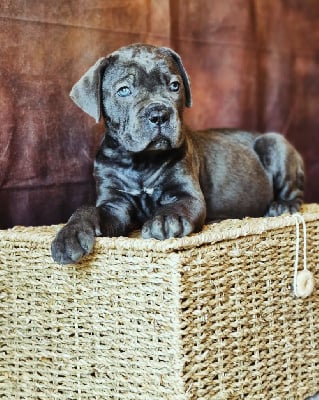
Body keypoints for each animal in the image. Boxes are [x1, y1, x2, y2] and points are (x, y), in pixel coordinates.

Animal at [51, 43, 306, 264]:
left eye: (175, 86)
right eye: (123, 91)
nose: (159, 114)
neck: (141, 162)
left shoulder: (187, 193)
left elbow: (178, 206)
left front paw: (166, 219)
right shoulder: (115, 205)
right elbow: (86, 209)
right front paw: (69, 236)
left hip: (275, 143)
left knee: (295, 192)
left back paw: (283, 206)